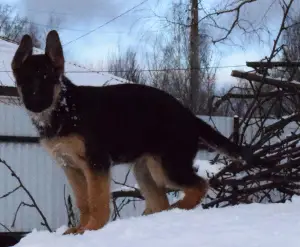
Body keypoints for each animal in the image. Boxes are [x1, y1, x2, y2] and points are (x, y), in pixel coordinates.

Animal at [11, 29, 254, 234]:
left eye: (48, 79)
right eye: (24, 82)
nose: (35, 105)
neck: (64, 109)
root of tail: (190, 116)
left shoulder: (97, 163)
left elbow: (97, 200)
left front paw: (92, 228)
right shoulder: (70, 167)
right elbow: (83, 201)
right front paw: (80, 229)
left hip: (165, 168)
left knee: (199, 185)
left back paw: (177, 208)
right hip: (144, 170)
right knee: (162, 201)